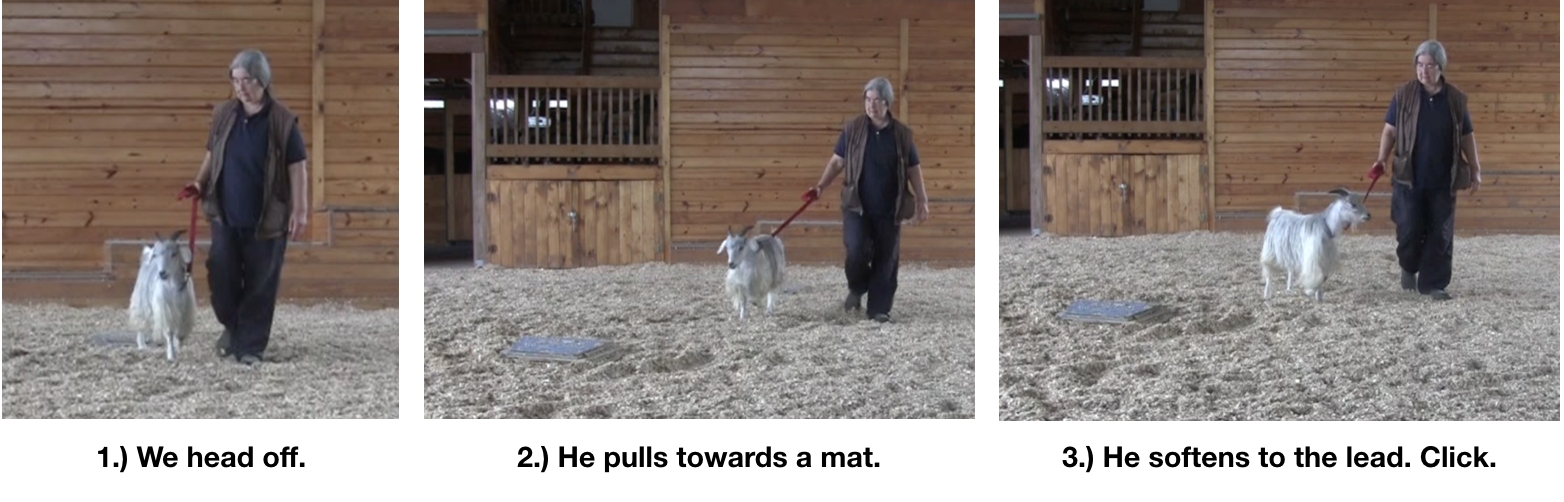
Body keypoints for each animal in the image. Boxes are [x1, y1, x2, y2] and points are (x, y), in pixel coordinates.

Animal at [135, 230, 196, 360]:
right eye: (156, 255)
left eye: (174, 254)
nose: (162, 273)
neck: (172, 287)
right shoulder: (166, 310)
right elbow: (169, 332)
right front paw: (171, 355)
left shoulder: (183, 311)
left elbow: (179, 332)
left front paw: (178, 346)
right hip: (142, 300)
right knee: (141, 321)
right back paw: (142, 344)